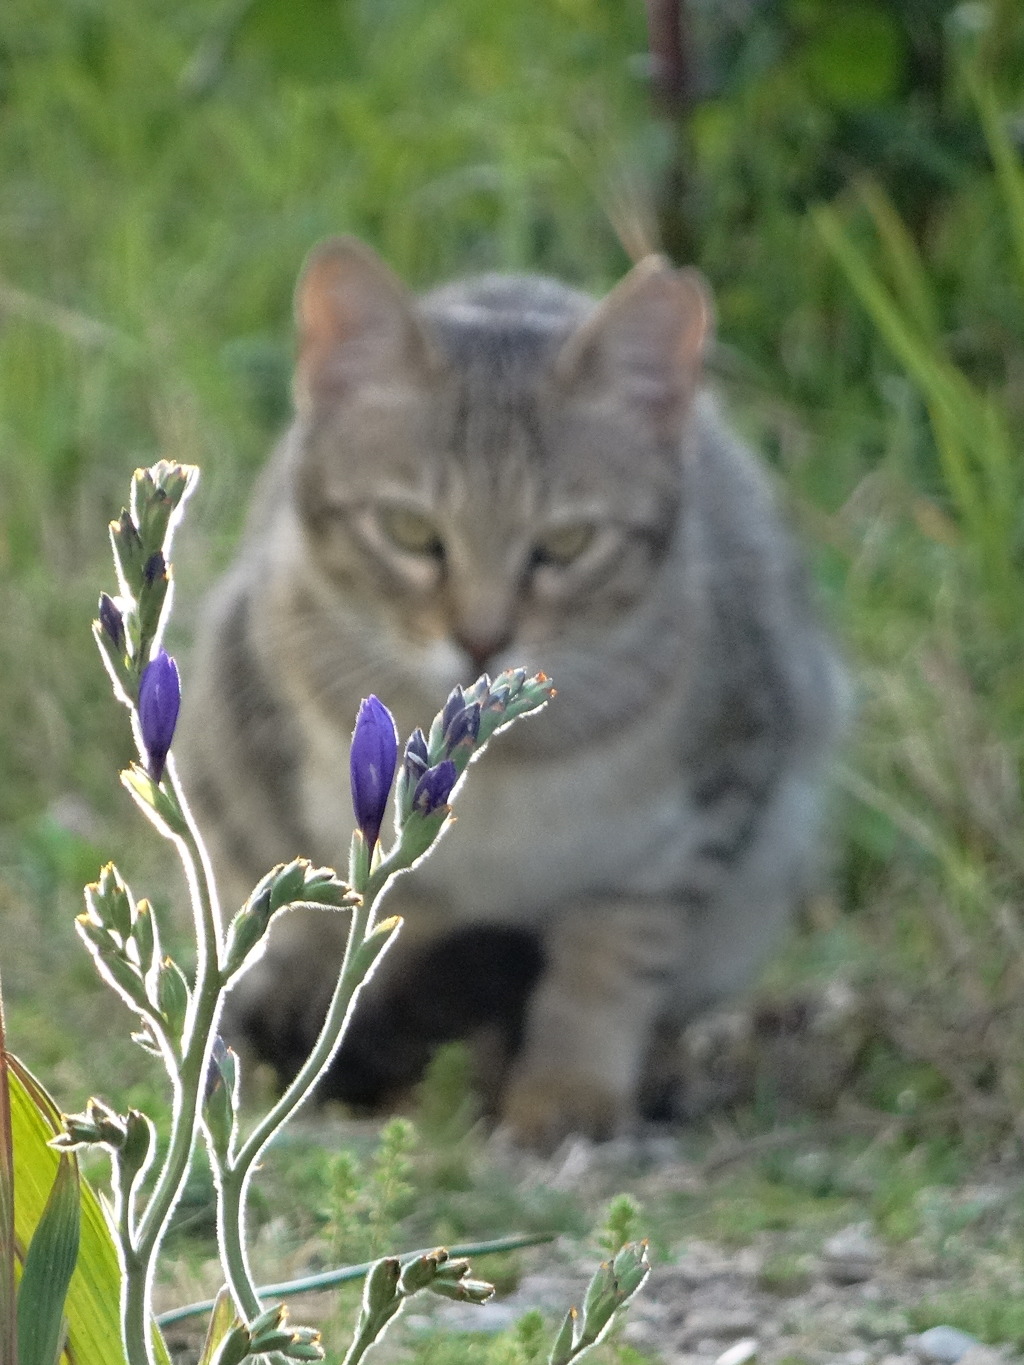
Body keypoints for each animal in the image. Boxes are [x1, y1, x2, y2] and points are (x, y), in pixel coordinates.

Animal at [176, 237, 851, 1152]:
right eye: (410, 531)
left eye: (566, 543)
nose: (483, 638)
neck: (509, 775)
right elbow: (395, 957)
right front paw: (435, 1080)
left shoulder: (699, 812)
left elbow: (609, 964)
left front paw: (570, 1087)